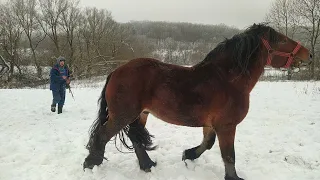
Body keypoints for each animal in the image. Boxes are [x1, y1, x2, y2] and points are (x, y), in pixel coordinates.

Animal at [82, 23, 310, 180]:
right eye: (281, 40)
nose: (308, 54)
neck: (227, 80)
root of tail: (116, 71)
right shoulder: (227, 126)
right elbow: (229, 155)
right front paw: (233, 177)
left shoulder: (211, 124)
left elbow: (208, 143)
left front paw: (188, 154)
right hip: (123, 115)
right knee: (102, 135)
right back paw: (91, 163)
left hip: (140, 114)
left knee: (135, 138)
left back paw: (147, 165)